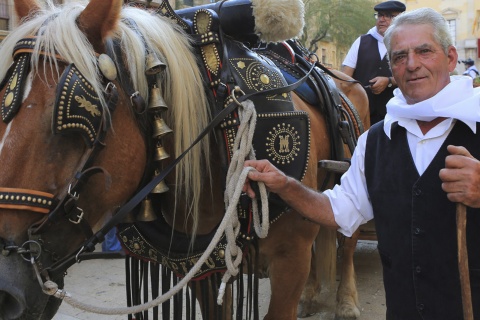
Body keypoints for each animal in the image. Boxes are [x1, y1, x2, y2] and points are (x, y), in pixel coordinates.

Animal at [0, 0, 368, 320]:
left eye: (75, 126)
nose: (6, 288)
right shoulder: (203, 267)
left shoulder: (290, 259)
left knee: (348, 239)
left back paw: (347, 301)